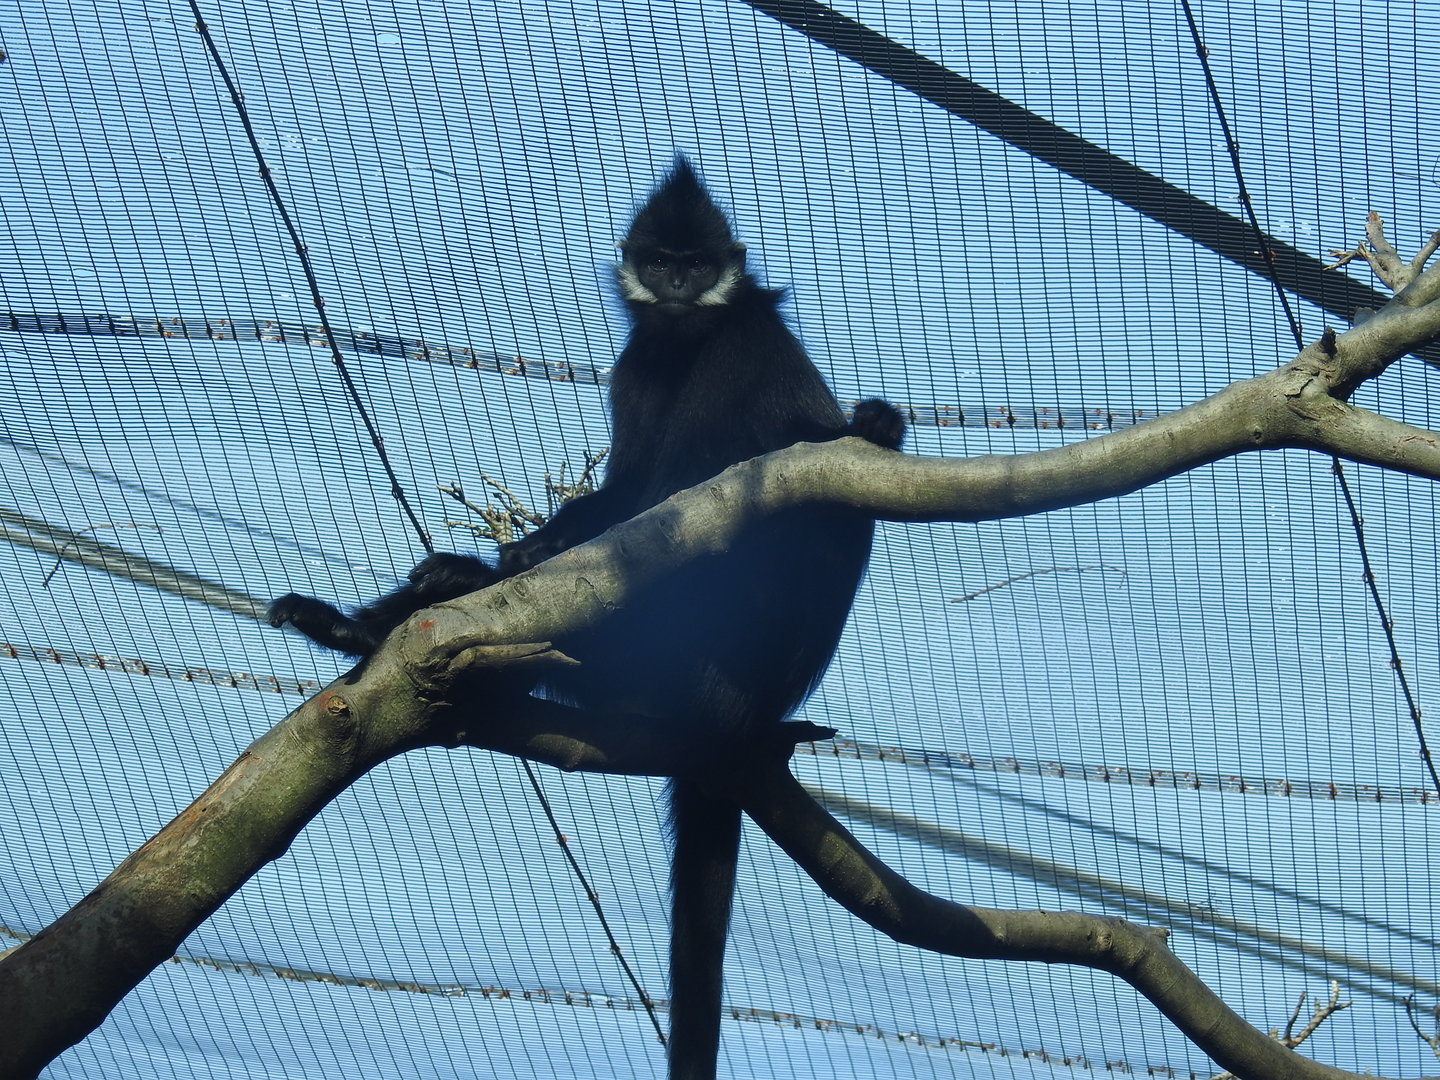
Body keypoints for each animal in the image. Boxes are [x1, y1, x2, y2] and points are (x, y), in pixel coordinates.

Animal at [267, 157, 904, 1079]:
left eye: (695, 263)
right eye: (661, 260)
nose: (676, 285)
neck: (684, 343)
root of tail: (749, 721)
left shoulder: (745, 344)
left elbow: (687, 485)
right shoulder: (640, 360)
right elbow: (628, 487)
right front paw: (491, 561)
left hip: (695, 666)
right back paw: (376, 628)